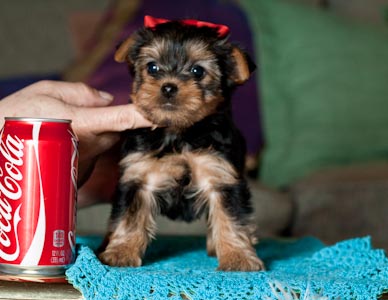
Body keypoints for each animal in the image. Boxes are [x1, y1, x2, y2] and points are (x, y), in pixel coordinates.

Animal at [98, 14, 266, 272]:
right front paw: (120, 252)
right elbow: (129, 217)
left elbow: (231, 217)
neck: (178, 132)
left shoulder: (221, 176)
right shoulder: (138, 176)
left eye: (197, 71)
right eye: (152, 67)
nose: (168, 86)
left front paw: (238, 257)